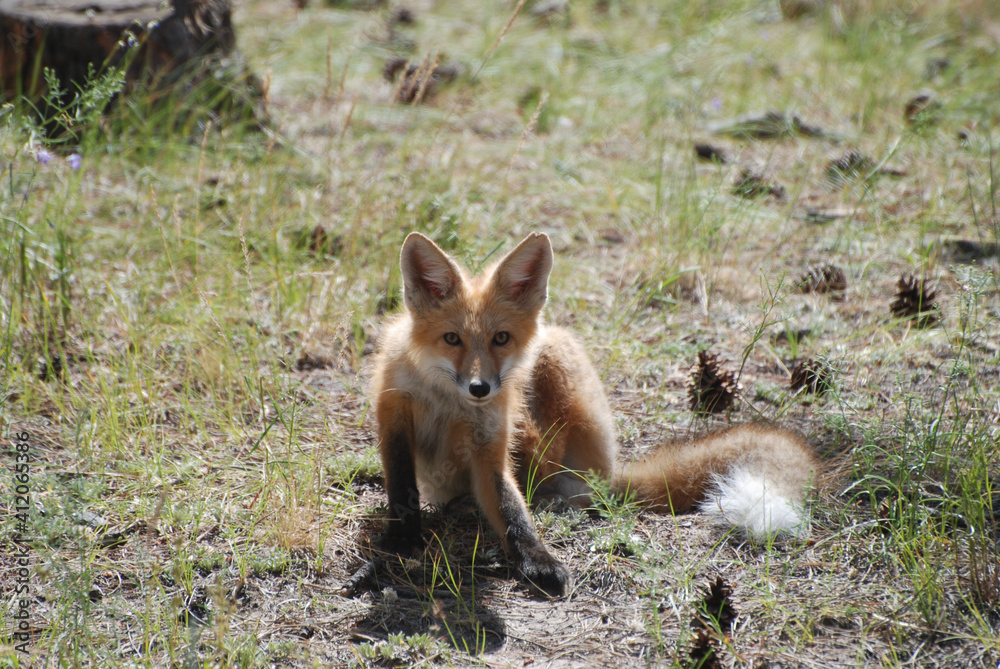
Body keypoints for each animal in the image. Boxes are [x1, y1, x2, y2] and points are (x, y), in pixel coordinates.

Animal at [370, 231, 817, 597]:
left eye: (500, 338)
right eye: (452, 339)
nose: (481, 388)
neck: (447, 402)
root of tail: (608, 471)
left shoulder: (489, 448)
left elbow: (514, 515)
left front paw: (539, 560)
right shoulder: (394, 416)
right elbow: (403, 487)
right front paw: (402, 538)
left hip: (553, 353)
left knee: (546, 468)